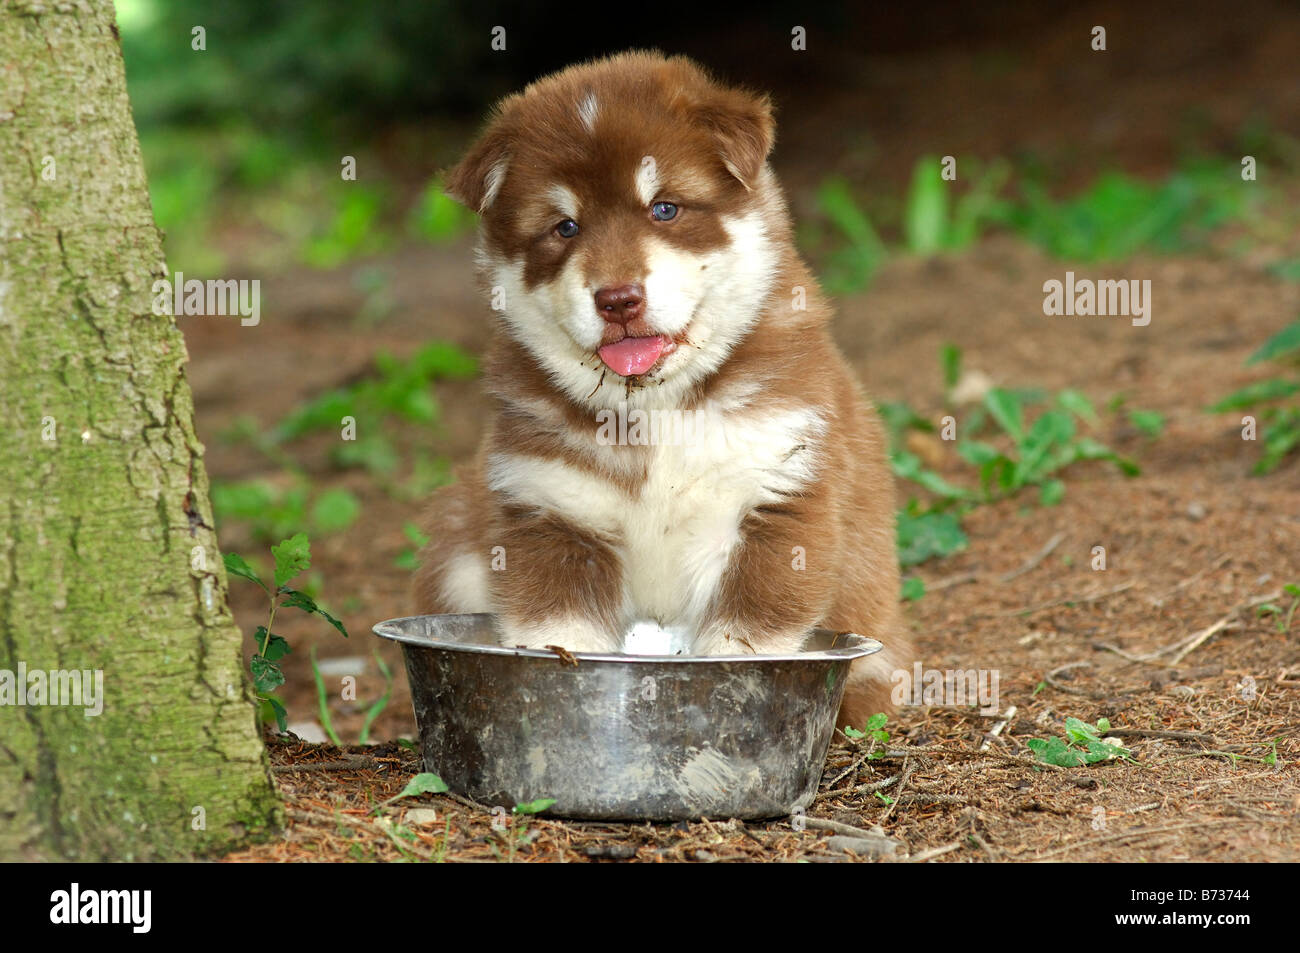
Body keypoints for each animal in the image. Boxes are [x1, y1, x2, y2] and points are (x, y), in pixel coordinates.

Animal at [413, 50, 904, 722]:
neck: (657, 408)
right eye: (565, 227)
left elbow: (744, 635)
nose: (618, 299)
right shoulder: (551, 511)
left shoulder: (776, 497)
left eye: (664, 208)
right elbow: (561, 631)